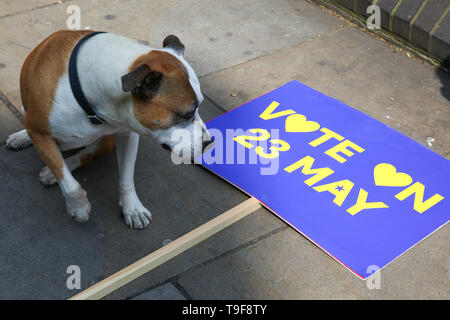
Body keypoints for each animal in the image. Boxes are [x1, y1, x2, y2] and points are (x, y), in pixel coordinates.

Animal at [5, 30, 213, 229]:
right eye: (187, 113)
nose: (209, 142)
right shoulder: (39, 132)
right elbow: (68, 182)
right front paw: (78, 208)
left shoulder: (127, 133)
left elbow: (126, 177)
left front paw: (132, 208)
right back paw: (23, 138)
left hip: (106, 140)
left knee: (87, 153)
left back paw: (52, 172)